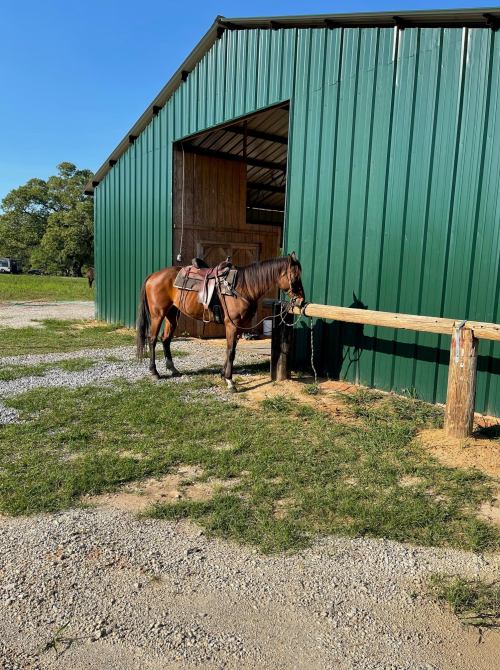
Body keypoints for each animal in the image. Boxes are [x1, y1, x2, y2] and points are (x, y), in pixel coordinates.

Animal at [136, 253, 305, 391]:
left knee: (166, 339)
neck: (244, 287)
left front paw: (223, 375)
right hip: (158, 314)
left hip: (172, 314)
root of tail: (153, 276)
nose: (301, 301)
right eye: (295, 277)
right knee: (152, 339)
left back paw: (173, 369)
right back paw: (154, 372)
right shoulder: (231, 325)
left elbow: (232, 350)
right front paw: (230, 381)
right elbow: (230, 351)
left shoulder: (239, 326)